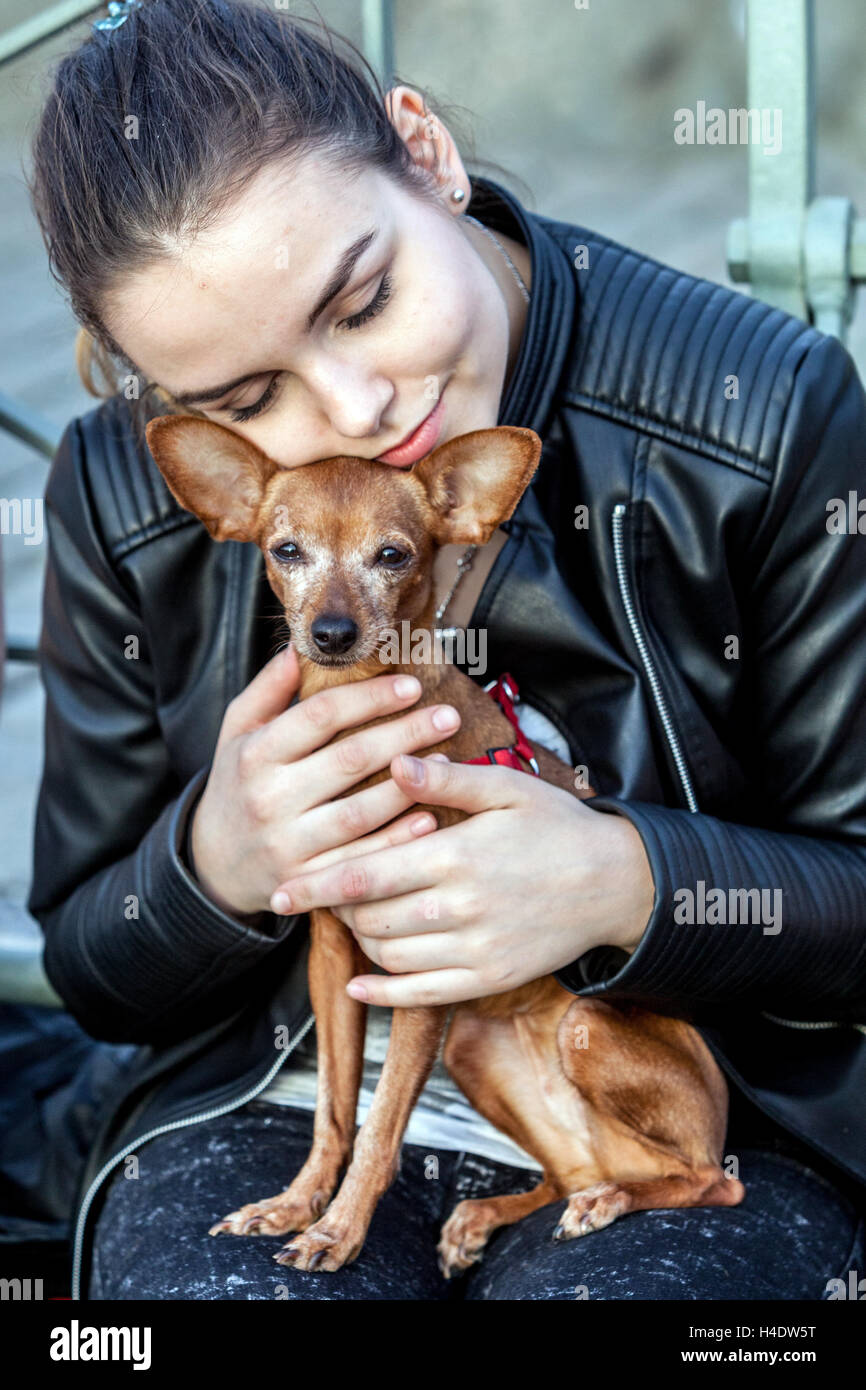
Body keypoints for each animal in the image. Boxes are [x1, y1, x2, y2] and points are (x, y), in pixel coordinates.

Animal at [147, 417, 745, 1273]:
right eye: (285, 550)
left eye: (393, 556)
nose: (332, 632)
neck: (359, 724)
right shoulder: (334, 964)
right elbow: (335, 1111)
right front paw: (294, 1205)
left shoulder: (420, 977)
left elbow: (380, 1128)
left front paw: (336, 1232)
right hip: (476, 1054)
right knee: (575, 1171)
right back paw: (497, 1212)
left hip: (585, 1027)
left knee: (708, 1180)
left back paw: (611, 1203)